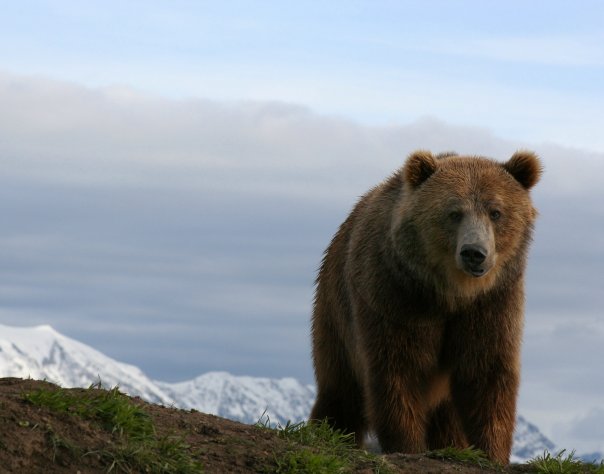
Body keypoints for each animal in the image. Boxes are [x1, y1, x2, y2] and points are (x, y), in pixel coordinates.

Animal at [310, 151, 540, 462]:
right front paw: (407, 446)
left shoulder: (493, 304)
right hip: (335, 311)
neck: (452, 293)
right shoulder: (396, 296)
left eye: (496, 212)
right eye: (454, 212)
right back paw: (329, 431)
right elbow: (397, 371)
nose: (474, 253)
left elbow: (487, 373)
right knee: (340, 388)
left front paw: (491, 451)